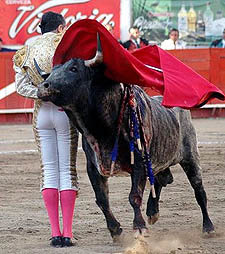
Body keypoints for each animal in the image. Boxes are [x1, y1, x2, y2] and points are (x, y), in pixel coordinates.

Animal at [36, 38, 214, 240]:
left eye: (73, 68)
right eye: (53, 71)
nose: (43, 86)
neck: (102, 127)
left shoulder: (139, 161)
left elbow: (134, 196)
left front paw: (139, 227)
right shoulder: (93, 166)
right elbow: (102, 199)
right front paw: (115, 230)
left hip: (191, 156)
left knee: (198, 189)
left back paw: (208, 227)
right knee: (161, 179)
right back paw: (153, 212)